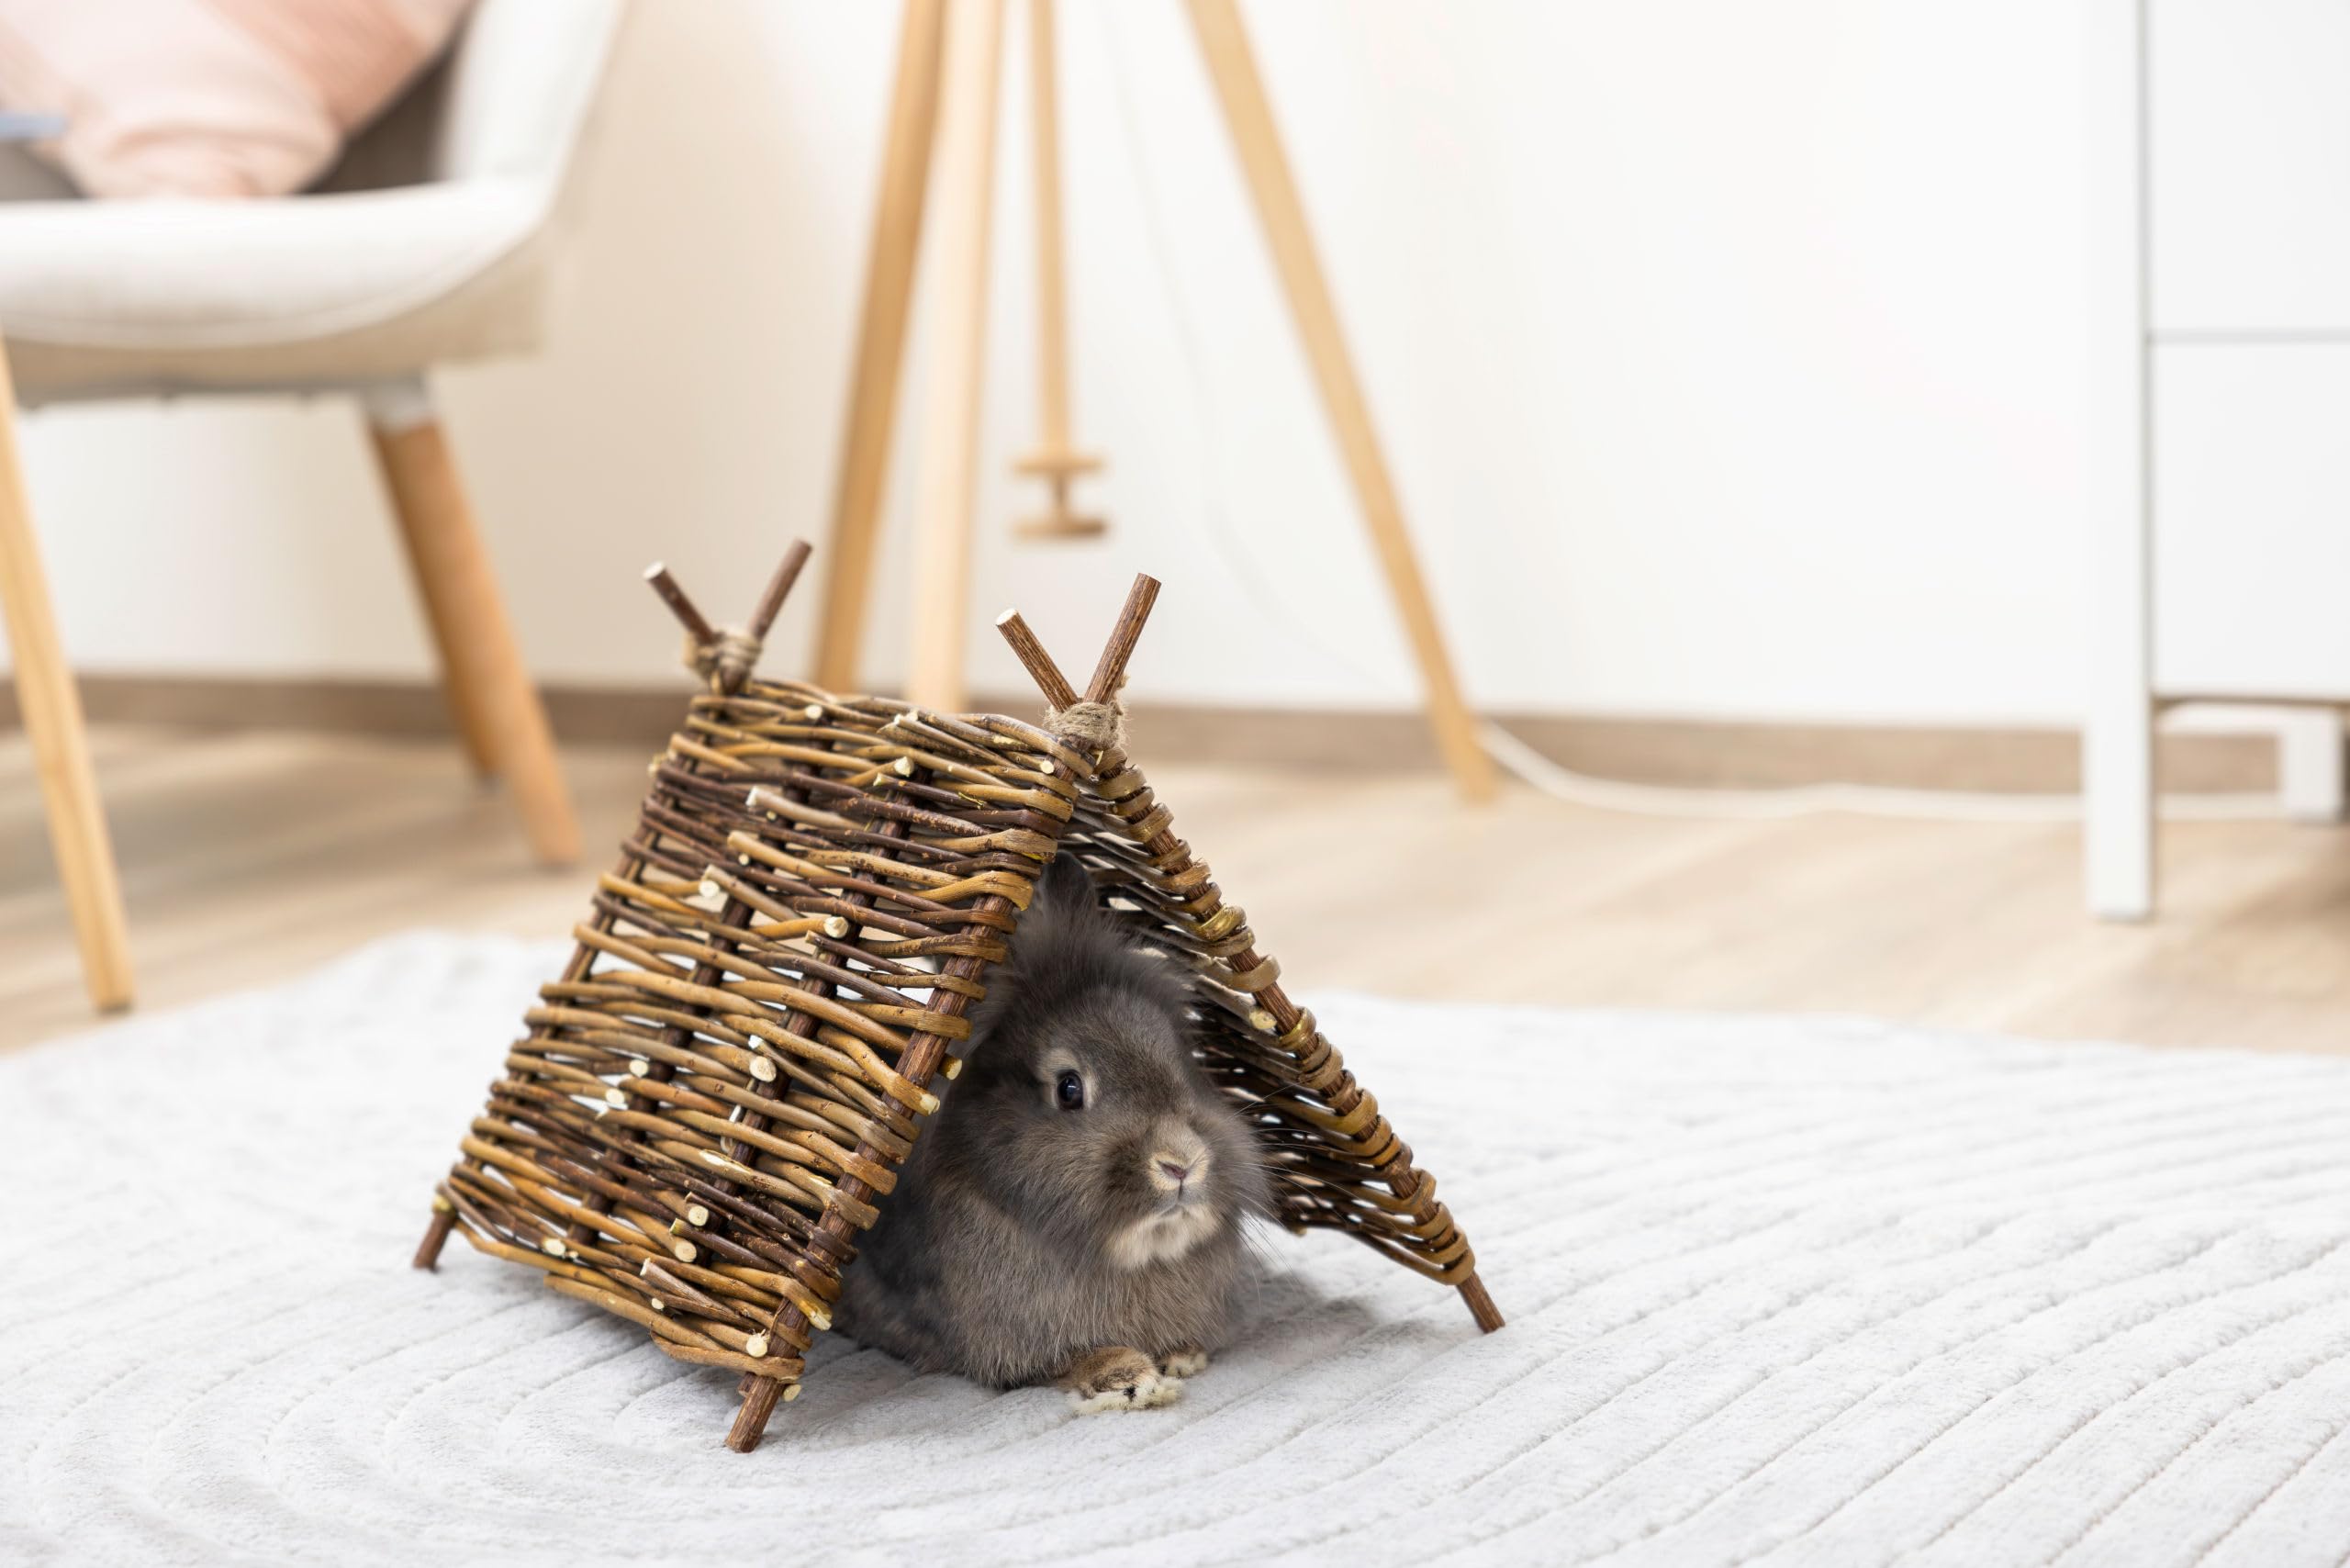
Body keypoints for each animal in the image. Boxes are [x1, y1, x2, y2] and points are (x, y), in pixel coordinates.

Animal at [835, 849, 1272, 1411]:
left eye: (1184, 1063)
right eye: (1068, 1088)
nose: (1182, 1164)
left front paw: (1183, 1355)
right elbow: (1062, 1361)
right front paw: (1130, 1378)